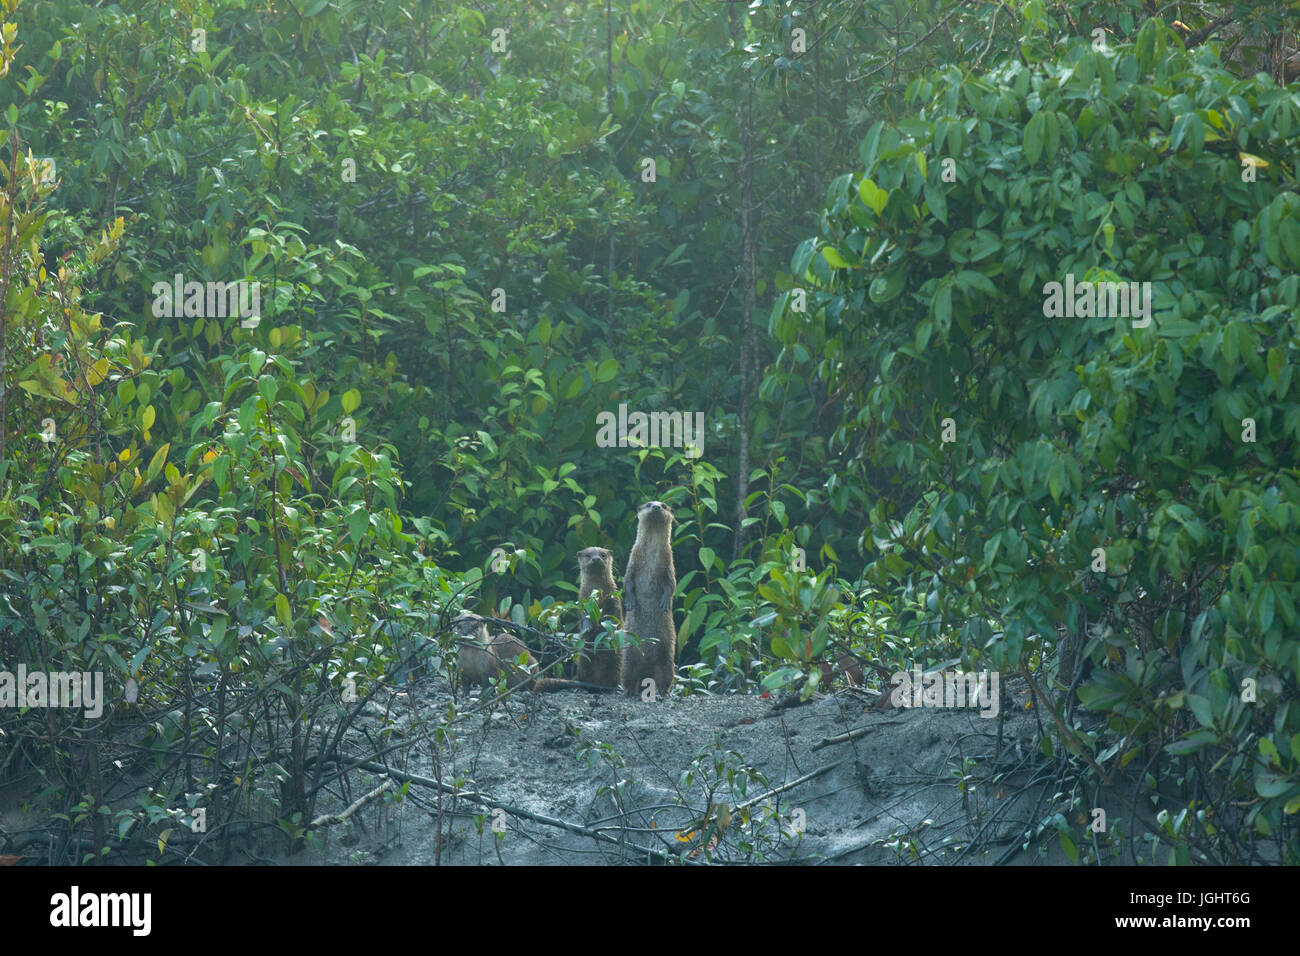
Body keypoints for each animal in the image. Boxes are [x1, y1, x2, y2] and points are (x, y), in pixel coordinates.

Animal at [574, 546, 624, 686]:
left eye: (602, 555)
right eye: (588, 555)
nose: (596, 559)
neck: (598, 593)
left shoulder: (613, 598)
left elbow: (614, 614)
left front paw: (608, 632)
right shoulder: (583, 599)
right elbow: (583, 615)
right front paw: (587, 628)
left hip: (617, 661)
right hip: (583, 659)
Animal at [621, 502, 681, 697]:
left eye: (664, 505)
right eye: (648, 504)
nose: (656, 507)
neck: (651, 556)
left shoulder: (668, 563)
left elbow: (671, 584)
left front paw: (665, 602)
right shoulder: (632, 560)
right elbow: (627, 582)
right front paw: (630, 602)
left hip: (667, 659)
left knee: (664, 678)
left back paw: (663, 692)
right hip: (628, 660)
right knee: (628, 677)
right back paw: (629, 691)